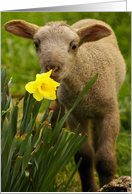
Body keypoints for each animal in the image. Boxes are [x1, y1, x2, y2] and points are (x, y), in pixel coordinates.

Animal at [3, 19, 126, 192]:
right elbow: (84, 156)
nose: (52, 67)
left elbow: (105, 159)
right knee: (55, 116)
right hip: (60, 100)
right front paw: (90, 188)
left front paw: (107, 185)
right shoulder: (74, 113)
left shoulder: (110, 112)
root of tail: (88, 19)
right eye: (36, 44)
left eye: (74, 46)